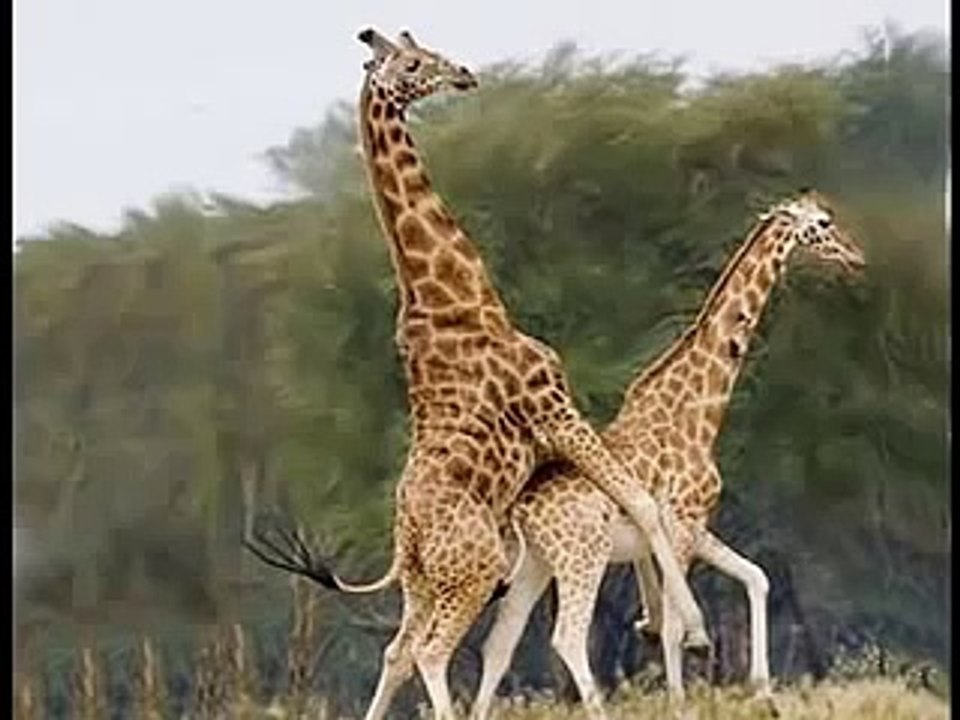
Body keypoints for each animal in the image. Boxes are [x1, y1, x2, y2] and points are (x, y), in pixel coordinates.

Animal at [244, 28, 708, 720]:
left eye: (421, 42)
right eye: (411, 62)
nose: (462, 72)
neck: (462, 297)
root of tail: (403, 540)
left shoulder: (543, 453)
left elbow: (631, 503)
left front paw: (658, 622)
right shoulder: (552, 409)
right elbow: (642, 502)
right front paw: (693, 629)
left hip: (427, 582)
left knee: (399, 650)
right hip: (474, 568)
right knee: (430, 652)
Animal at [471, 190, 866, 720]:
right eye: (823, 223)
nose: (856, 257)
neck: (699, 411)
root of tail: (521, 507)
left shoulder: (696, 525)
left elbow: (756, 577)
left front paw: (763, 691)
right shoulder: (680, 522)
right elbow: (677, 624)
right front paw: (680, 702)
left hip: (539, 562)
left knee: (499, 644)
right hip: (582, 557)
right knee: (566, 638)